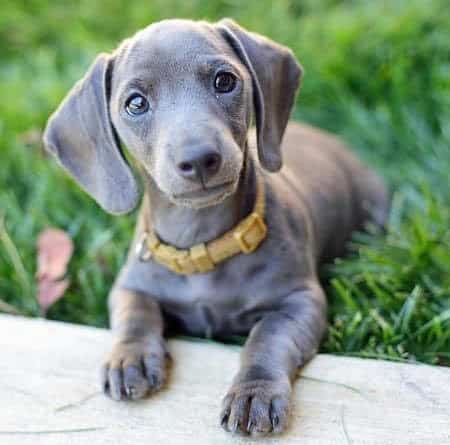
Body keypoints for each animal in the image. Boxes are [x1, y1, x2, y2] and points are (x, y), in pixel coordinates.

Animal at [44, 19, 388, 436]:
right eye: (135, 103)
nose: (199, 159)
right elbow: (134, 313)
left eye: (225, 81)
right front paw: (131, 357)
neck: (202, 245)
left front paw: (254, 392)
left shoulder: (300, 300)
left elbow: (267, 337)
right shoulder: (130, 285)